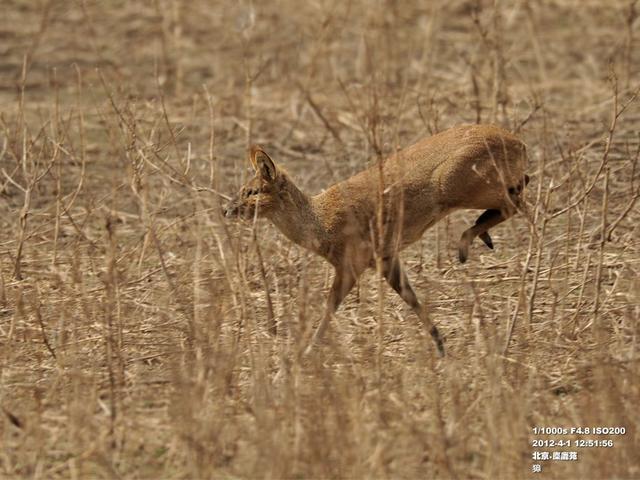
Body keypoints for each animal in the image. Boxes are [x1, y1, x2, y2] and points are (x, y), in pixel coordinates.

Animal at [222, 124, 528, 356]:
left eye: (252, 191)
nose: (226, 209)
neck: (320, 224)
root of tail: (519, 143)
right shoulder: (385, 257)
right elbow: (411, 298)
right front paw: (440, 344)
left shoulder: (350, 263)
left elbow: (330, 307)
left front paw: (307, 350)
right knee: (518, 192)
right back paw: (481, 235)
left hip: (457, 185)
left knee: (516, 201)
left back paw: (469, 242)